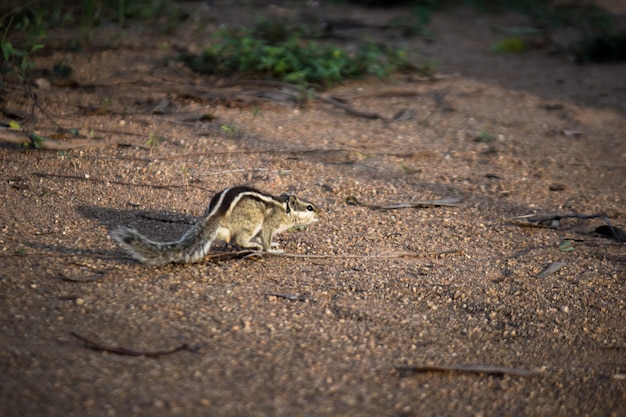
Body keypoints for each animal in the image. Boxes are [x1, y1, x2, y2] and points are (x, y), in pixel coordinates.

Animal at [110, 184, 322, 264]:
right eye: (310, 207)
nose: (322, 213)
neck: (283, 207)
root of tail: (216, 214)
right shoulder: (270, 224)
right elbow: (267, 239)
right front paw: (273, 249)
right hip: (251, 222)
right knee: (240, 240)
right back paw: (253, 245)